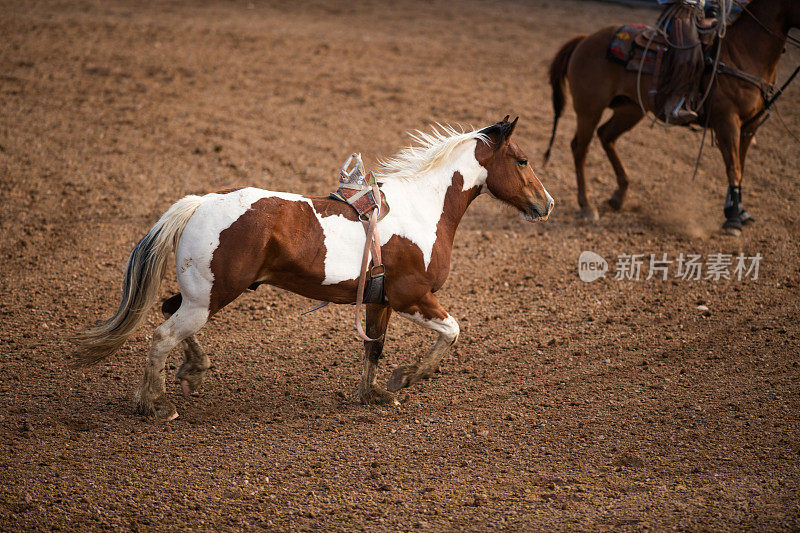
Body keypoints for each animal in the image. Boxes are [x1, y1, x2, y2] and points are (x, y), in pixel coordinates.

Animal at [73, 117, 552, 420]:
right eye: (523, 160)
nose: (546, 203)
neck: (425, 207)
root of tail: (199, 202)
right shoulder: (412, 296)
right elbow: (452, 332)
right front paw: (404, 378)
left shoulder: (380, 300)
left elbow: (374, 347)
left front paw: (372, 394)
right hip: (210, 297)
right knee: (162, 335)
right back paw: (155, 404)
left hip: (202, 296)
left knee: (168, 315)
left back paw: (190, 370)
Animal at [544, 0, 800, 233]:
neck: (743, 52)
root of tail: (585, 39)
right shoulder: (727, 121)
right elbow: (734, 168)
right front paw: (733, 218)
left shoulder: (750, 125)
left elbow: (741, 168)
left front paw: (740, 212)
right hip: (589, 109)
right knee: (580, 148)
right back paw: (587, 206)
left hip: (631, 108)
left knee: (606, 136)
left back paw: (619, 195)